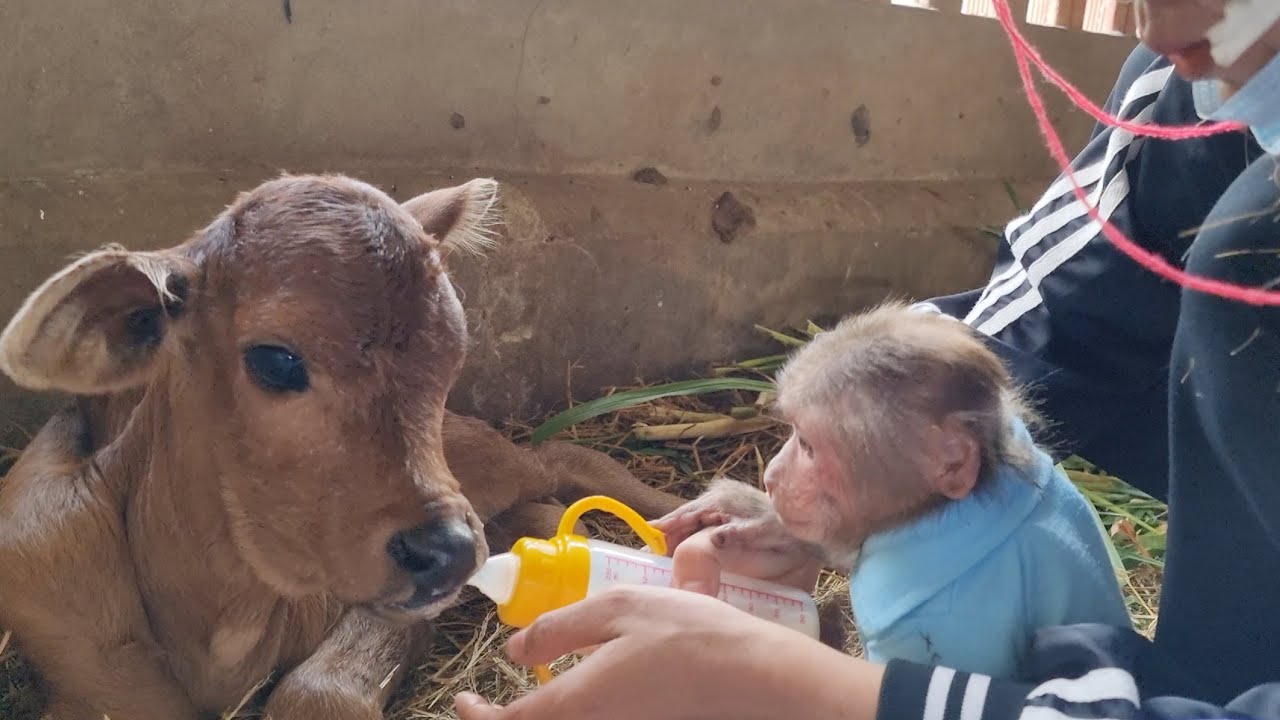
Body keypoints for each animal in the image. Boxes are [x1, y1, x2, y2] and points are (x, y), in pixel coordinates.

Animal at [652, 301, 1132, 680]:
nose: (771, 476)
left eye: (806, 445)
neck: (932, 520)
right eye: (791, 432)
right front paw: (751, 516)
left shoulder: (943, 627)